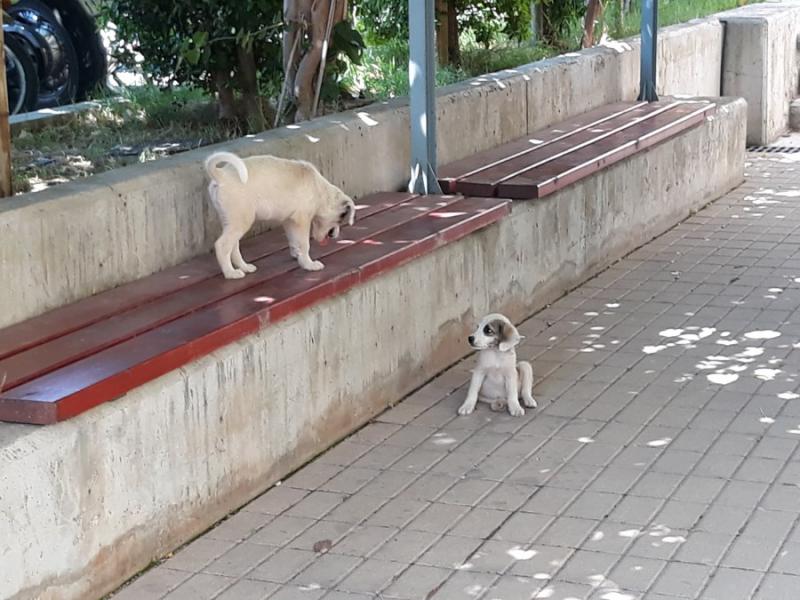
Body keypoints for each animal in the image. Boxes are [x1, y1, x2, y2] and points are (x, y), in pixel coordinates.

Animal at [203, 152, 356, 278]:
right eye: (342, 217)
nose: (334, 235)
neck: (320, 191)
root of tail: (221, 175)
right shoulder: (301, 221)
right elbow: (304, 244)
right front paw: (308, 264)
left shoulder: (289, 221)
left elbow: (293, 240)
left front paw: (297, 254)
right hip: (241, 222)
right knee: (222, 246)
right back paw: (230, 273)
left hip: (233, 222)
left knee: (233, 247)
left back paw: (244, 267)